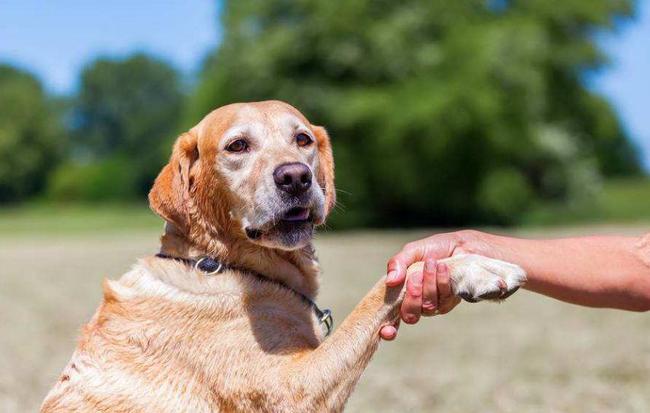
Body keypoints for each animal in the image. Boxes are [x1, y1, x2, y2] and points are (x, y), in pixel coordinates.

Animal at [40, 100, 524, 412]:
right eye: (237, 146)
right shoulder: (294, 390)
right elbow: (379, 294)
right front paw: (478, 267)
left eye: (302, 138)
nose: (296, 176)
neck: (222, 264)